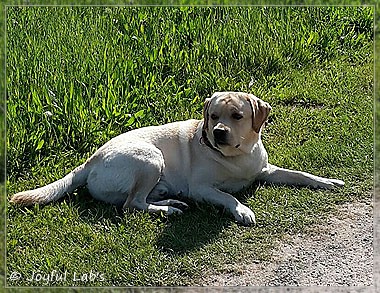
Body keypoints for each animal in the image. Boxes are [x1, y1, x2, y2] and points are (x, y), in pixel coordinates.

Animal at [11, 91, 344, 224]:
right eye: (213, 116)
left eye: (237, 116)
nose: (218, 132)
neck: (237, 156)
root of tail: (90, 159)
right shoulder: (202, 188)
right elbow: (229, 196)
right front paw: (242, 210)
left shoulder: (265, 169)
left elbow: (299, 174)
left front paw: (327, 181)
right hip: (150, 158)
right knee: (131, 205)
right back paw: (169, 210)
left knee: (136, 200)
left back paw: (169, 201)